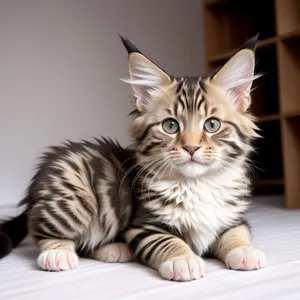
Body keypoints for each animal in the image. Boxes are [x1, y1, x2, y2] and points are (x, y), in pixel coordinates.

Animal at [0, 34, 268, 282]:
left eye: (212, 124)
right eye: (171, 126)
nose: (191, 147)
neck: (197, 184)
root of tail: (39, 183)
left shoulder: (233, 219)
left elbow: (236, 234)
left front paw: (245, 251)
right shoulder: (143, 226)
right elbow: (169, 241)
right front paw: (183, 259)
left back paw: (114, 250)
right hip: (75, 197)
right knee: (43, 231)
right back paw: (58, 254)